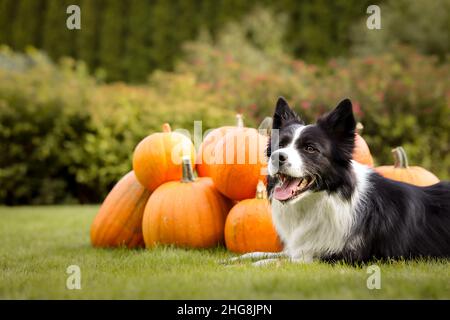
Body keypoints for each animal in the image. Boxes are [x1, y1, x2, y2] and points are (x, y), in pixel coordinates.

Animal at [230, 97, 448, 264]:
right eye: (280, 145)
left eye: (310, 148)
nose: (277, 157)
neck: (325, 197)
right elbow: (270, 254)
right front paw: (238, 259)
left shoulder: (342, 257)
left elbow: (283, 261)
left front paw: (254, 265)